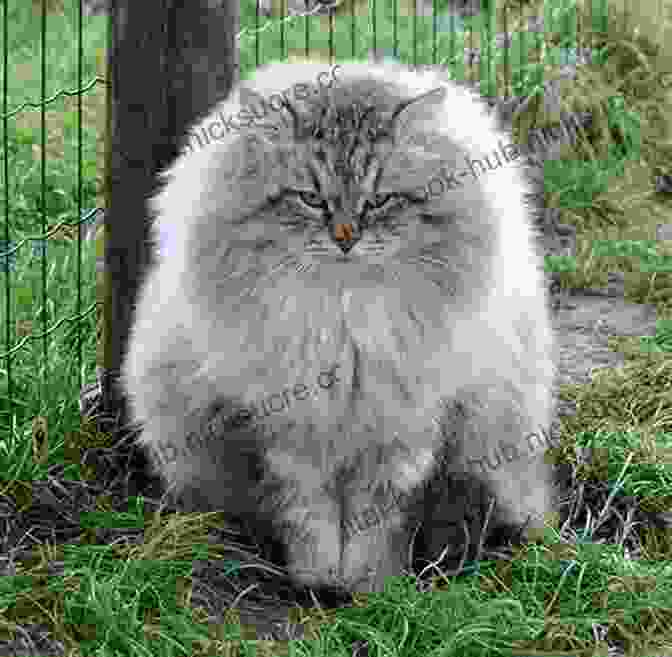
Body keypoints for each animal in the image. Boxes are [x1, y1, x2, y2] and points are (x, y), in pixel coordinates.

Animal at [122, 60, 556, 596]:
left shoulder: (404, 434)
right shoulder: (288, 434)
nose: (345, 239)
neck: (344, 320)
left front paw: (372, 589)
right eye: (310, 199)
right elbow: (308, 516)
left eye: (380, 200)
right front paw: (319, 582)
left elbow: (379, 522)